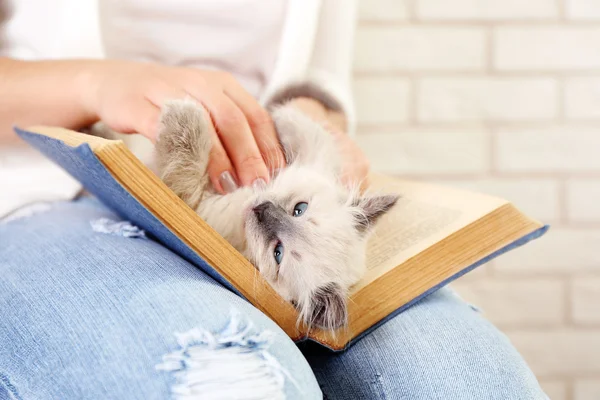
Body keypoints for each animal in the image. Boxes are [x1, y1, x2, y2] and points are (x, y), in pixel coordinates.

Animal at [154, 97, 398, 332]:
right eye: (299, 209)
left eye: (278, 252)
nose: (261, 210)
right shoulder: (315, 163)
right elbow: (312, 136)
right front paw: (276, 113)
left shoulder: (197, 207)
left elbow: (185, 176)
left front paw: (183, 113)